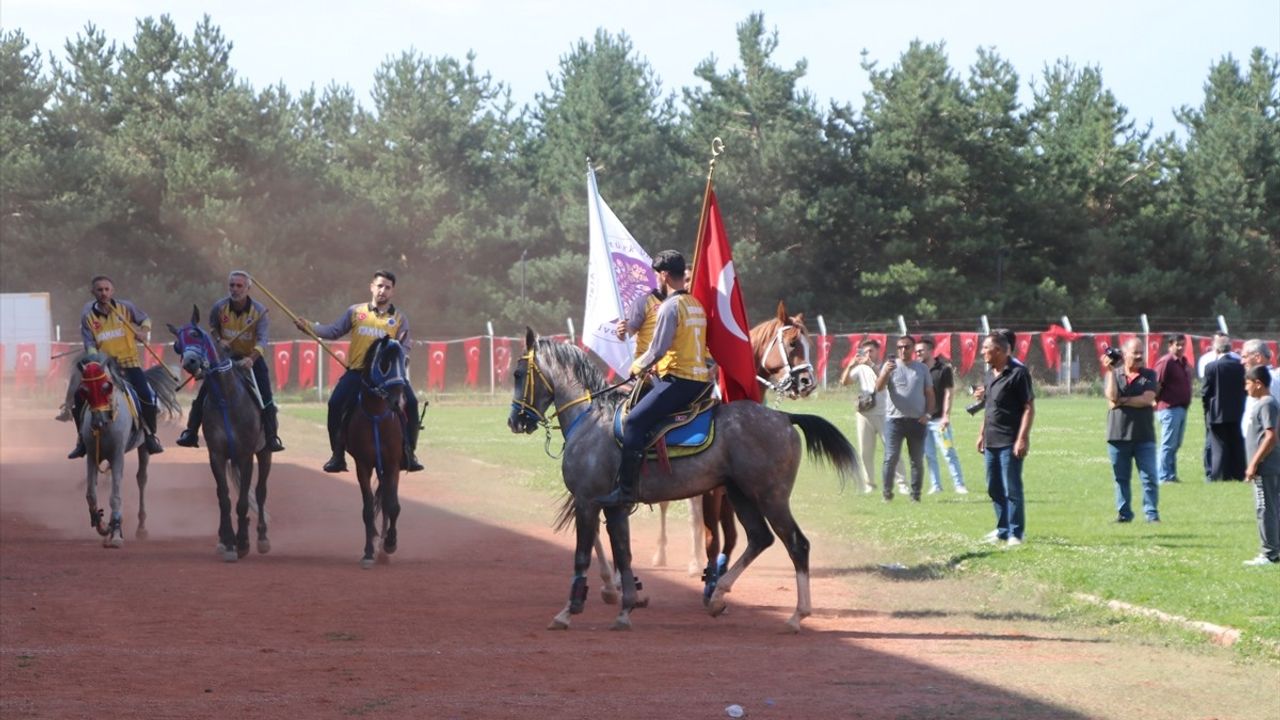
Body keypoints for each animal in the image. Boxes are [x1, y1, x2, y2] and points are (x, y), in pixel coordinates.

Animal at [72, 353, 179, 543]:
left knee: (142, 479)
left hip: (144, 447)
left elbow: (115, 496)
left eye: (106, 387)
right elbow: (91, 494)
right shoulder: (92, 455)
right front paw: (101, 525)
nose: (98, 421)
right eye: (84, 390)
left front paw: (115, 532)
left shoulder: (117, 455)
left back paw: (142, 527)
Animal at [170, 304, 272, 558]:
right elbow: (223, 497)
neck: (227, 398)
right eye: (177, 344)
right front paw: (227, 541)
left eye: (196, 334)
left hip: (265, 452)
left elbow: (244, 499)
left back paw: (262, 538)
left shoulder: (245, 455)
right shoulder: (216, 454)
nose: (190, 363)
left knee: (261, 492)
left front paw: (243, 542)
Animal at [345, 335, 409, 566]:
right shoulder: (362, 465)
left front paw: (390, 544)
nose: (399, 401)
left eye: (405, 361)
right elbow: (368, 509)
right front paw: (369, 552)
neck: (375, 416)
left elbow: (393, 506)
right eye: (384, 364)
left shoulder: (392, 465)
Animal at [509, 327, 860, 630]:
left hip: (770, 497)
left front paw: (569, 611)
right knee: (760, 538)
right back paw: (717, 596)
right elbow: (623, 553)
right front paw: (625, 607)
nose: (515, 420)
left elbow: (582, 555)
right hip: (741, 495)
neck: (591, 420)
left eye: (517, 374)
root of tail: (785, 418)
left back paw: (797, 615)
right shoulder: (614, 506)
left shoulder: (586, 501)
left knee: (797, 545)